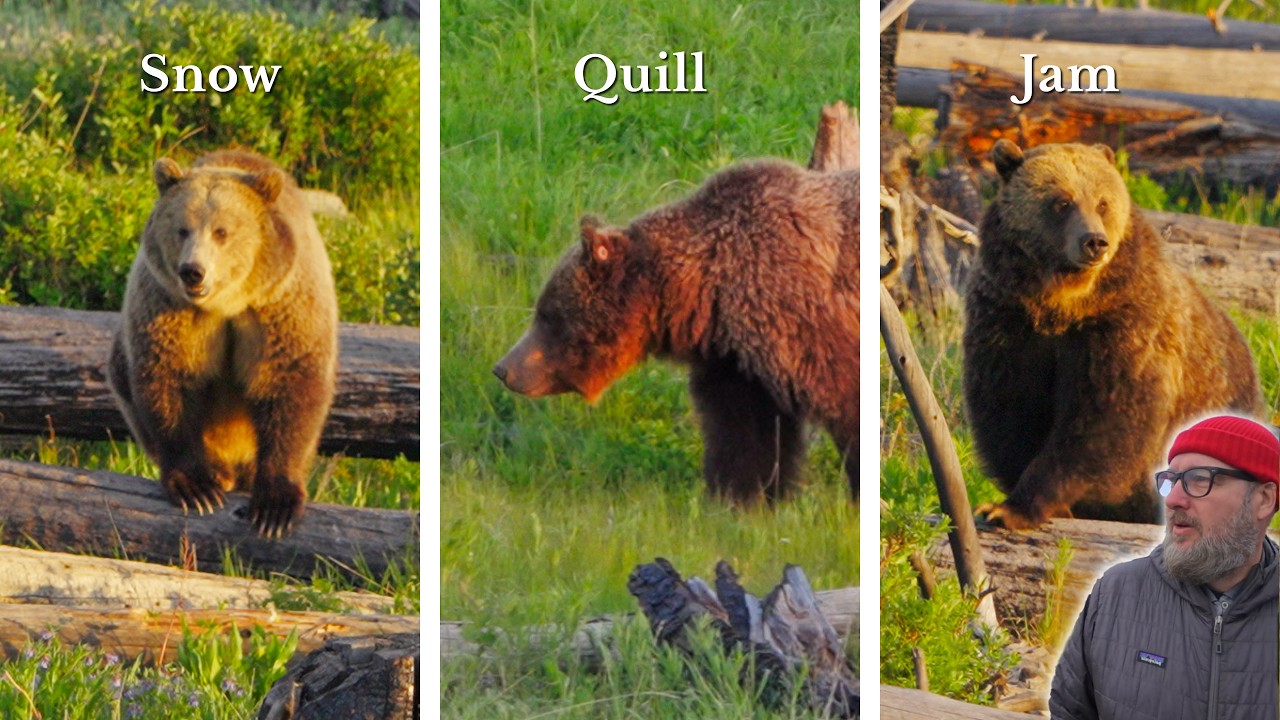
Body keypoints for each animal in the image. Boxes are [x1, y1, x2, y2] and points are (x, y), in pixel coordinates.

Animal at [107, 149, 339, 538]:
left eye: (222, 232)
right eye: (182, 229)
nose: (192, 271)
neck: (228, 302)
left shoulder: (281, 305)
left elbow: (291, 384)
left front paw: (275, 508)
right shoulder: (170, 307)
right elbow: (169, 380)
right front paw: (197, 488)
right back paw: (221, 472)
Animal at [493, 159, 858, 505]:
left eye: (547, 315)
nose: (503, 368)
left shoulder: (804, 324)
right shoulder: (737, 365)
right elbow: (744, 434)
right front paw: (738, 501)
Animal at [963, 140, 1263, 529]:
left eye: (1102, 203)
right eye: (1061, 202)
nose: (1094, 242)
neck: (1063, 305)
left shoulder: (1122, 326)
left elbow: (1103, 421)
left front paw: (1018, 506)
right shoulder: (1008, 319)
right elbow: (1010, 407)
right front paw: (1005, 503)